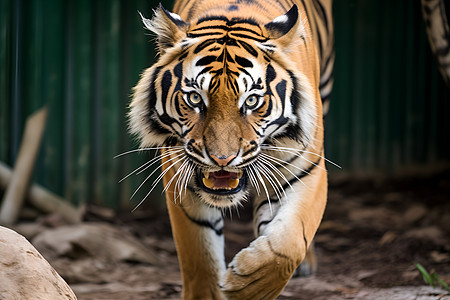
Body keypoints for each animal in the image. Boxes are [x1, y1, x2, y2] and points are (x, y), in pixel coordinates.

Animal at [130, 0, 334, 298]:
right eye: (195, 98)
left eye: (251, 101)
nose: (222, 159)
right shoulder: (179, 176)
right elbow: (200, 257)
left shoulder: (307, 170)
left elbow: (290, 242)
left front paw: (249, 287)